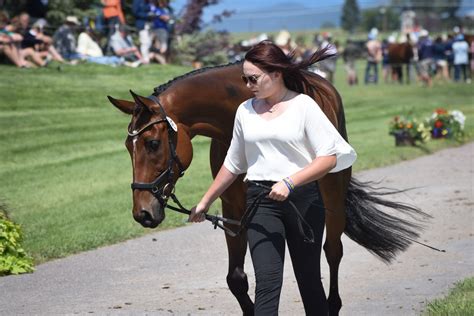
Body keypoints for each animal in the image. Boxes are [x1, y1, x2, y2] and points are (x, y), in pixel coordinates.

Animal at [109, 56, 428, 314]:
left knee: (332, 252)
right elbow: (237, 279)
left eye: (152, 143)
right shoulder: (234, 207)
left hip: (333, 198)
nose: (143, 213)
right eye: (127, 145)